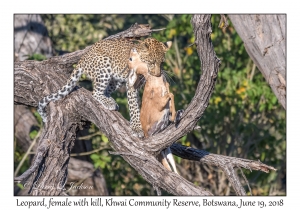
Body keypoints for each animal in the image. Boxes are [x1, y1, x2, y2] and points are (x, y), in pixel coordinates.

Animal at [38, 36, 171, 137]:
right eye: (152, 62)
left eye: (162, 63)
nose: (158, 74)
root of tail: (83, 57)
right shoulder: (131, 84)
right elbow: (134, 107)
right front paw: (137, 128)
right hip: (103, 65)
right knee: (95, 92)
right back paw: (107, 102)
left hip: (116, 78)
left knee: (105, 90)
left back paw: (110, 100)